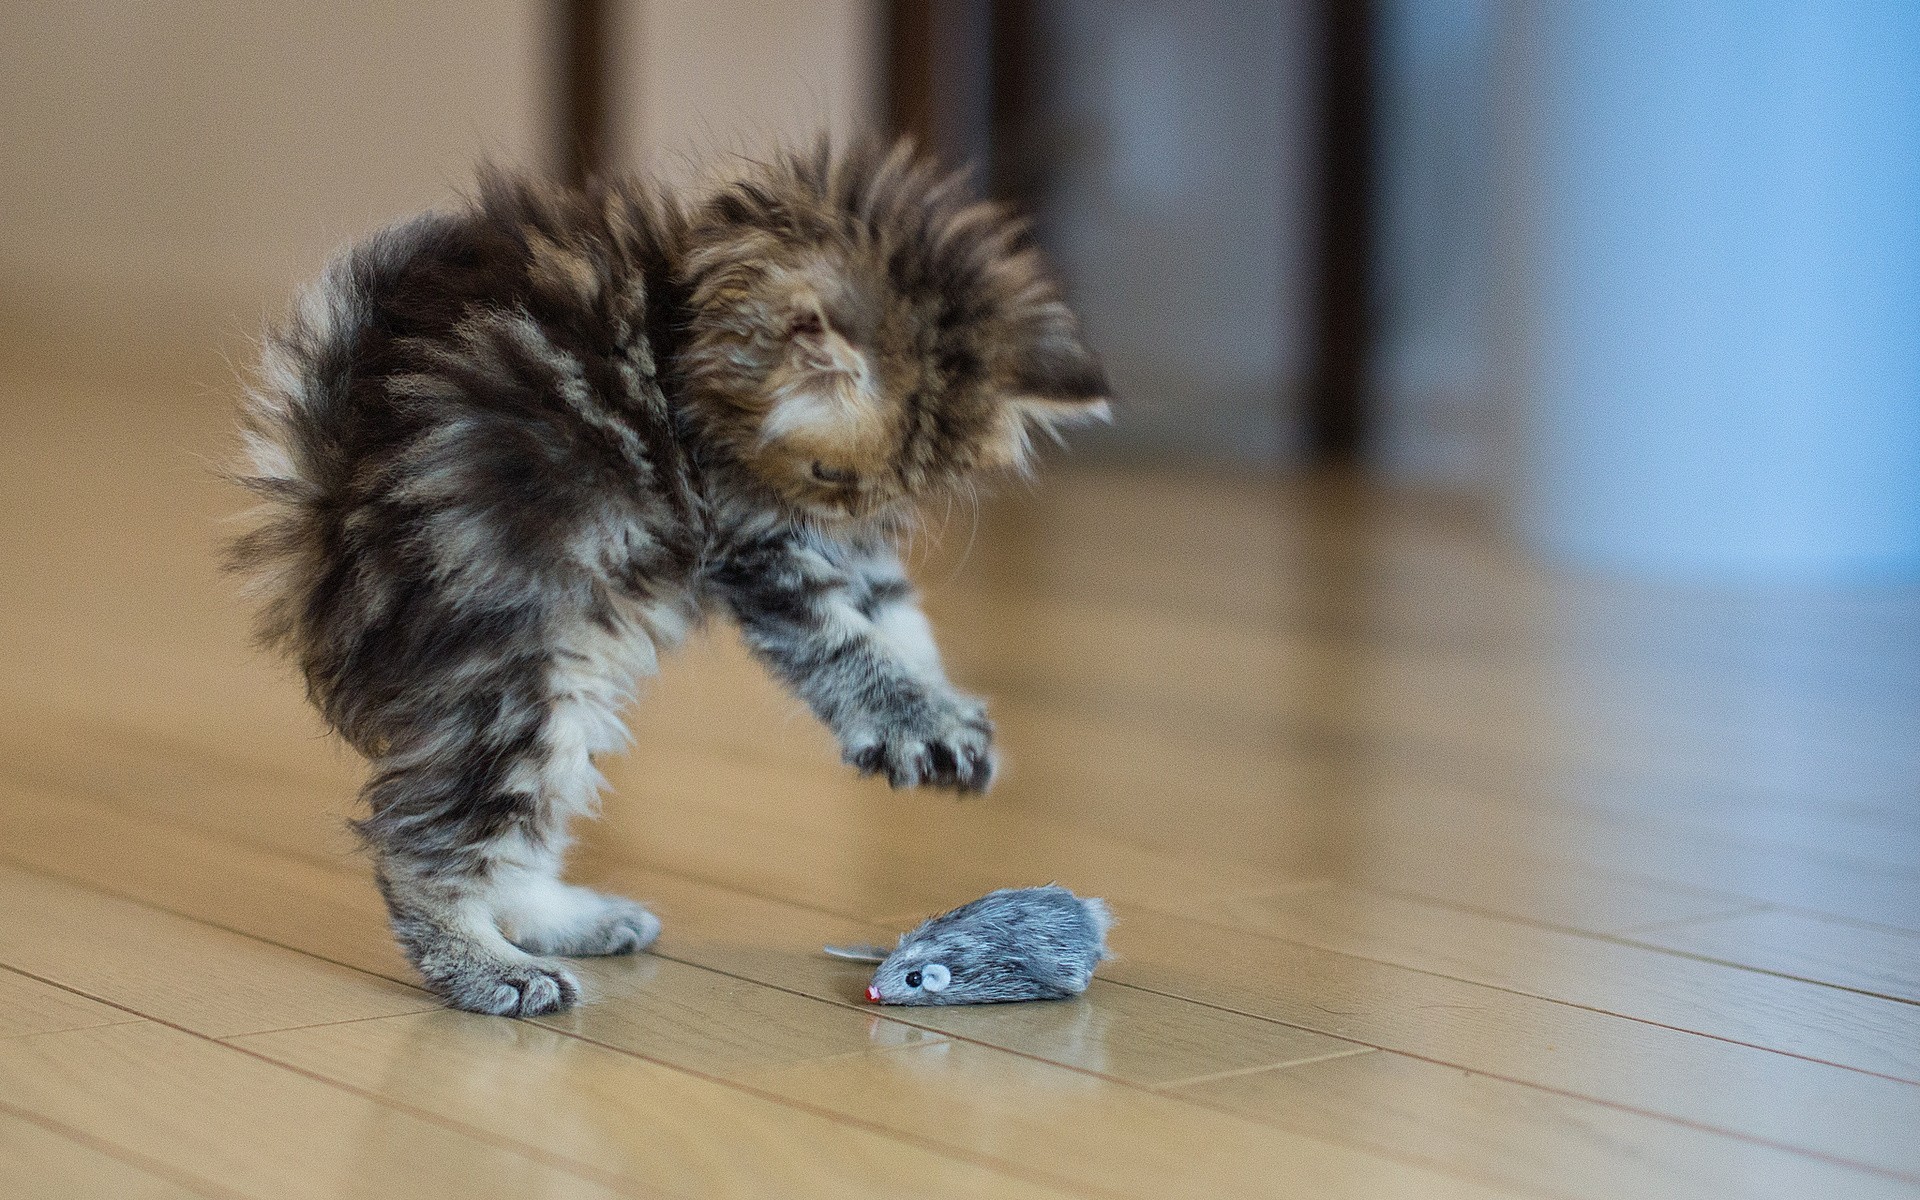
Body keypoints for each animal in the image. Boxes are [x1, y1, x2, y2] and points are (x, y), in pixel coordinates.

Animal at [230, 140, 1105, 1013]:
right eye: (827, 471)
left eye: (902, 488)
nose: (848, 516)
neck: (681, 332)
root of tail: (329, 522)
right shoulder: (756, 543)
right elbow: (846, 648)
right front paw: (916, 719)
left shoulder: (845, 554)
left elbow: (897, 621)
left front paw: (946, 717)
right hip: (513, 679)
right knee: (424, 845)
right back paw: (495, 968)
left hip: (567, 683)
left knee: (515, 836)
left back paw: (568, 920)